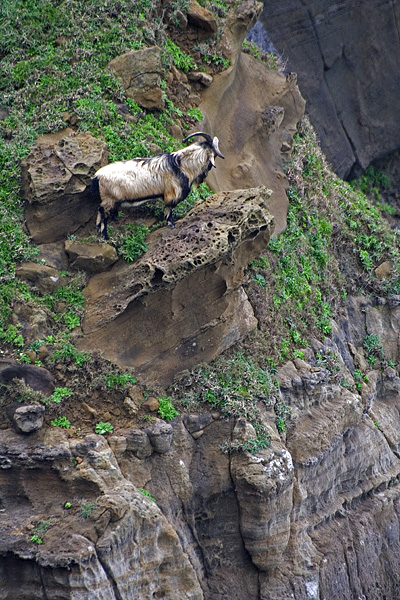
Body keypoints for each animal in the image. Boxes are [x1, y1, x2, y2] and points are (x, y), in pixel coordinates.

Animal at [91, 132, 225, 239]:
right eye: (214, 155)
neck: (180, 166)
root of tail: (97, 176)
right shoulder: (172, 193)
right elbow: (169, 208)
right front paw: (171, 224)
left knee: (100, 210)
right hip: (110, 199)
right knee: (103, 212)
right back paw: (105, 235)